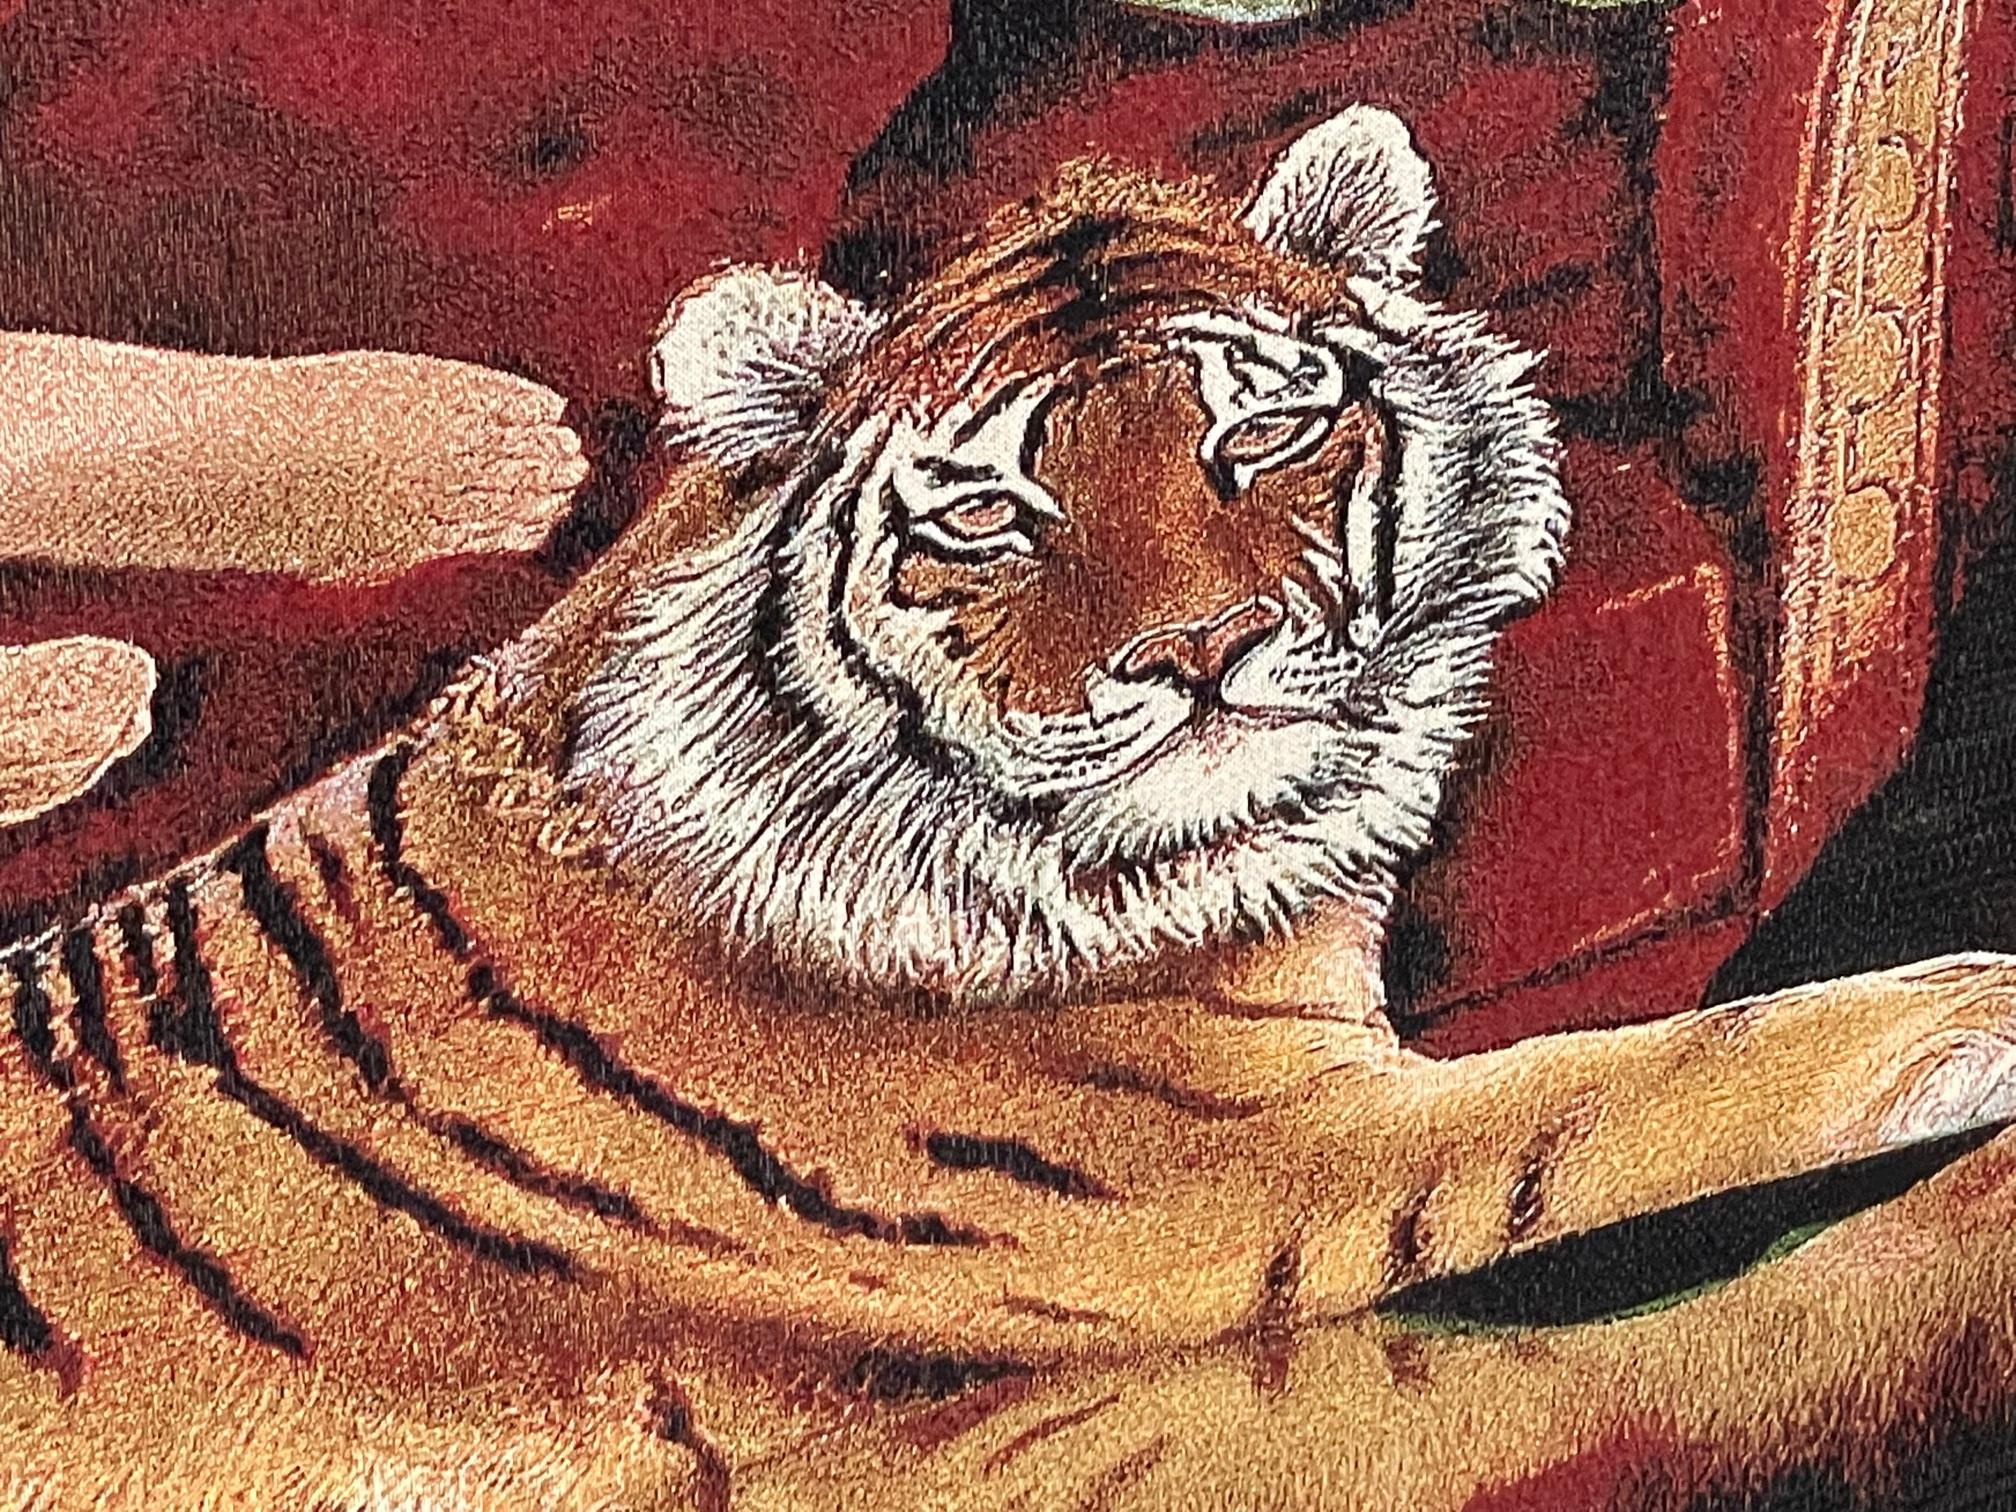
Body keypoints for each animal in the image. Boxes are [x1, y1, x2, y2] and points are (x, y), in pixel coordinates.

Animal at [6, 104, 2016, 1511]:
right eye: (986, 512)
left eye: (1262, 434)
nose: (1201, 652)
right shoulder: (1247, 1173)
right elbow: (1651, 1081)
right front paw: (1967, 1019)